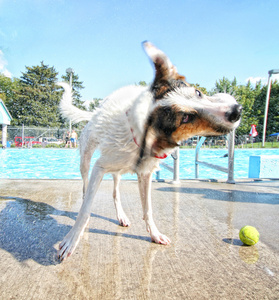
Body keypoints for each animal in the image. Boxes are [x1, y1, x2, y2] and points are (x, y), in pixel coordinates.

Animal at [57, 41, 243, 260]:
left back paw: (121, 215)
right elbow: (86, 209)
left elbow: (148, 209)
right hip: (86, 161)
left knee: (115, 192)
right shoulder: (99, 167)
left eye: (198, 92)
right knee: (86, 189)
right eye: (186, 118)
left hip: (116, 171)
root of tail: (94, 113)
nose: (237, 111)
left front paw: (154, 234)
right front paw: (72, 239)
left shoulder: (145, 174)